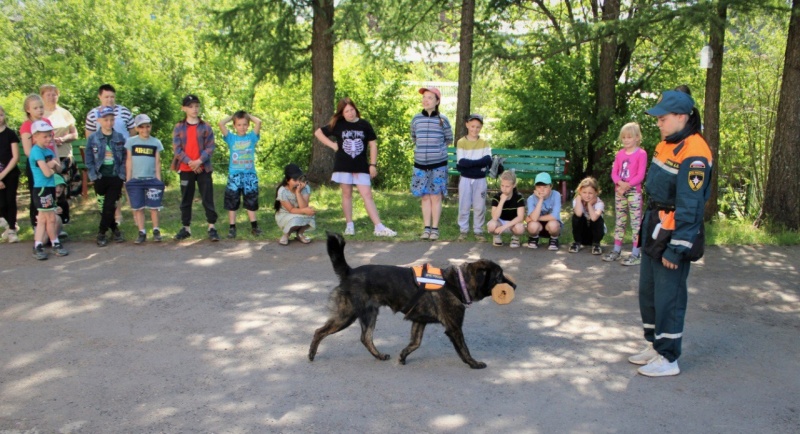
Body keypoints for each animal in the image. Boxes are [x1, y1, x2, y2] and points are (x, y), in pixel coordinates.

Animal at [310, 232, 516, 368]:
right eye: (499, 277)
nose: (514, 286)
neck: (458, 282)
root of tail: (349, 272)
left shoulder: (419, 321)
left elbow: (415, 344)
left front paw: (402, 356)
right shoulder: (454, 328)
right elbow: (464, 349)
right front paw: (474, 363)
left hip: (369, 314)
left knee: (365, 337)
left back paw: (379, 356)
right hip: (347, 315)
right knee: (319, 331)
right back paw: (311, 354)